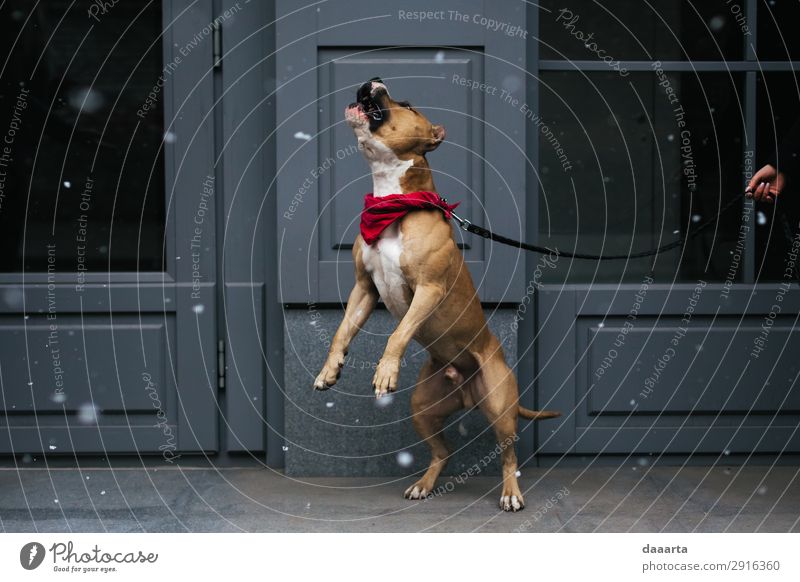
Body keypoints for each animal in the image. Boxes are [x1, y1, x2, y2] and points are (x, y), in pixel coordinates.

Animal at [310, 77, 560, 512]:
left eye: (407, 102)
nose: (373, 79)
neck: (394, 202)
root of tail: (466, 391)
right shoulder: (364, 288)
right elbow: (342, 331)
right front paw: (329, 370)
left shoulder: (428, 289)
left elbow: (398, 333)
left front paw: (385, 370)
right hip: (423, 407)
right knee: (442, 451)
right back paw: (424, 485)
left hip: (499, 405)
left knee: (508, 455)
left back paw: (511, 494)